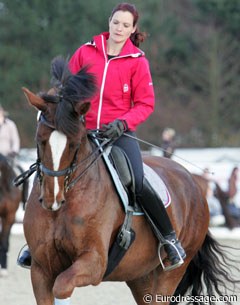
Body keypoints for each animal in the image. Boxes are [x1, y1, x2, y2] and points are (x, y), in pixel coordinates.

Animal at [21, 56, 239, 302]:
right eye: (40, 140)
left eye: (75, 144)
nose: (52, 199)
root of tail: (193, 182)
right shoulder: (41, 269)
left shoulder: (94, 263)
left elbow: (62, 286)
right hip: (139, 275)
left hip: (171, 272)